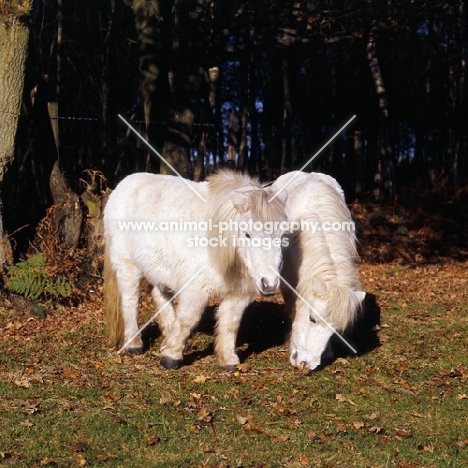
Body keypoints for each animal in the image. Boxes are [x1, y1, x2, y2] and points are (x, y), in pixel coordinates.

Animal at [103, 170, 286, 372]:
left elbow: (230, 324)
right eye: (247, 234)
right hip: (128, 266)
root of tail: (123, 184)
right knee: (130, 302)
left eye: (282, 236)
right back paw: (134, 344)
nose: (270, 284)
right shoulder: (195, 290)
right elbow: (188, 319)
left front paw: (228, 360)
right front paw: (171, 357)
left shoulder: (238, 294)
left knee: (159, 296)